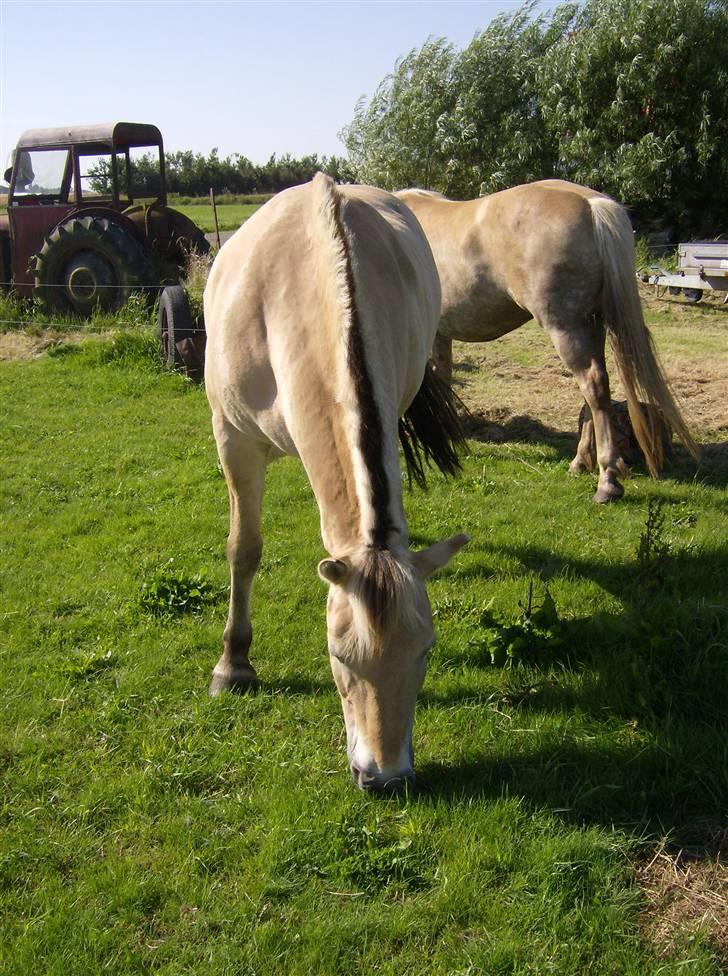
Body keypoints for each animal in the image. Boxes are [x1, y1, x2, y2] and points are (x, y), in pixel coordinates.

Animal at [202, 175, 470, 792]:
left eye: (426, 652)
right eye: (339, 657)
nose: (386, 776)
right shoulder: (233, 439)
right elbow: (243, 549)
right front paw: (234, 664)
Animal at [398, 180, 700, 504]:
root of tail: (592, 205)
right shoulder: (440, 334)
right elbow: (443, 380)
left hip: (564, 327)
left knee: (593, 384)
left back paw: (607, 480)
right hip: (591, 325)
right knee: (594, 391)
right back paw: (580, 462)